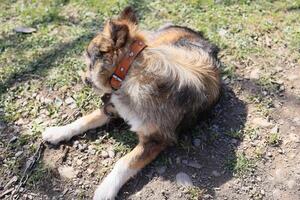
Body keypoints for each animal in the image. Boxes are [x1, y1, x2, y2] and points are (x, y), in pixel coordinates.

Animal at [41, 6, 220, 200]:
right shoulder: (113, 107)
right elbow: (85, 119)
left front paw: (106, 189)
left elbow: (125, 162)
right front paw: (58, 131)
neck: (128, 71)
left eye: (89, 60)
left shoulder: (156, 139)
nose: (83, 79)